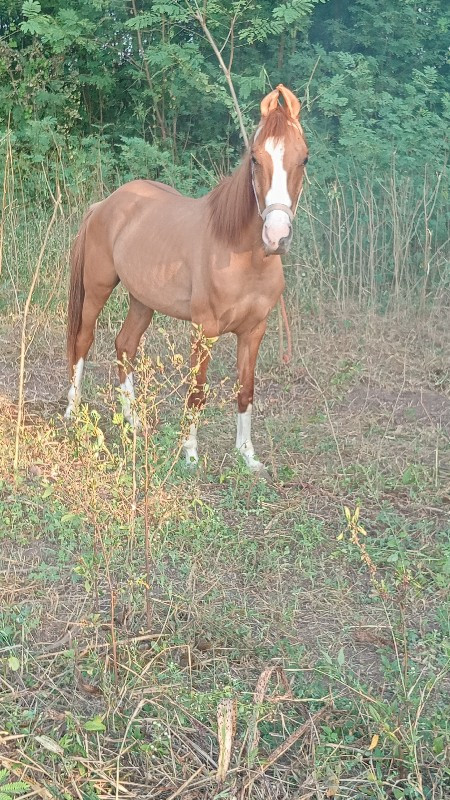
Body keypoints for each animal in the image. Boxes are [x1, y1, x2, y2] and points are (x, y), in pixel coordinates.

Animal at [65, 86, 308, 476]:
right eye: (255, 159)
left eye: (304, 159)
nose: (276, 236)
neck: (242, 255)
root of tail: (105, 204)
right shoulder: (204, 330)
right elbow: (197, 391)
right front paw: (190, 454)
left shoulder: (254, 330)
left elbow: (246, 389)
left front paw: (248, 455)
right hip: (97, 290)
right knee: (83, 342)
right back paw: (72, 413)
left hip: (142, 300)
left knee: (125, 345)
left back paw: (134, 421)